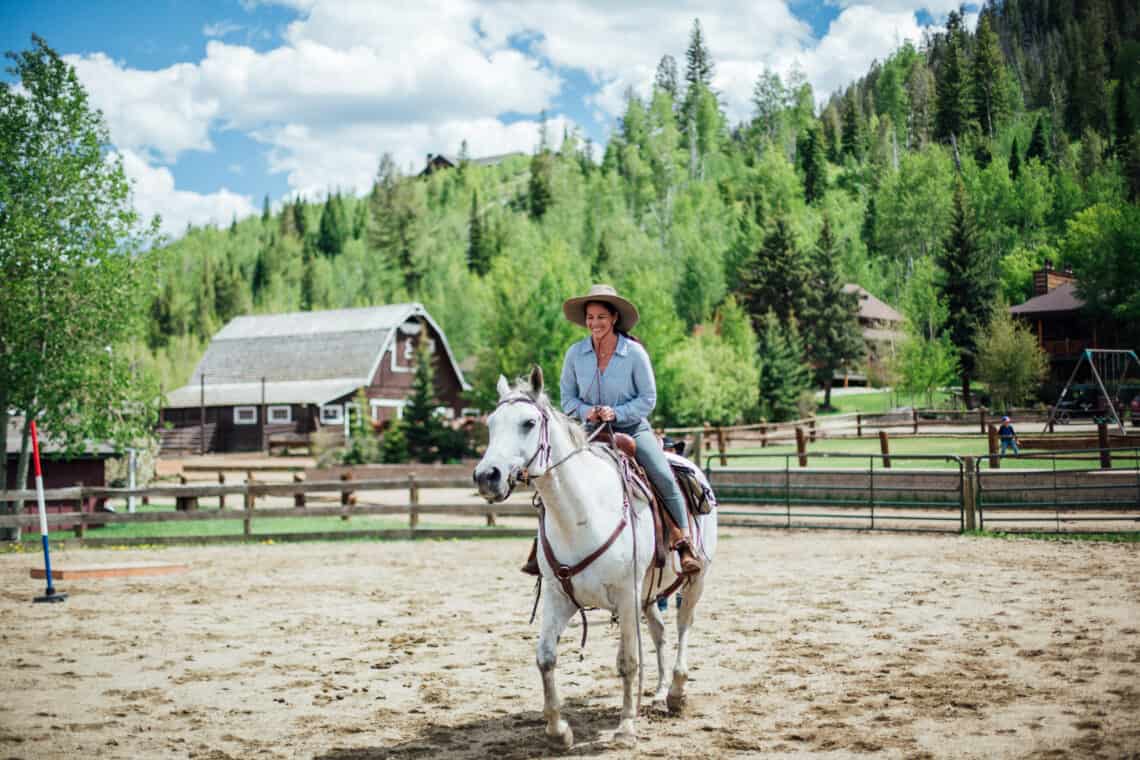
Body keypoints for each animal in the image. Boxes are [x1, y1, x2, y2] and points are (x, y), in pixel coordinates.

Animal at [469, 369, 715, 747]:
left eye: (528, 423)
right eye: (492, 423)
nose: (486, 476)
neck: (582, 514)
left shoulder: (626, 596)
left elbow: (628, 661)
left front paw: (626, 727)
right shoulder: (559, 596)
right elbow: (545, 657)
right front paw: (558, 730)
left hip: (695, 580)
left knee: (683, 625)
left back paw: (675, 693)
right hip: (649, 595)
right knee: (659, 632)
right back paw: (659, 693)